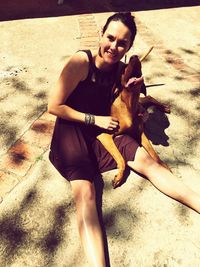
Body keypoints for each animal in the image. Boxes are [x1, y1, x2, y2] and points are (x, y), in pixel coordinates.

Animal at [97, 47, 170, 188]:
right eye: (124, 67)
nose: (134, 57)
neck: (129, 105)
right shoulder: (105, 135)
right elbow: (121, 158)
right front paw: (119, 176)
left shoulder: (141, 133)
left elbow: (153, 153)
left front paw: (163, 165)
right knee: (147, 98)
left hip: (142, 104)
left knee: (148, 97)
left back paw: (165, 107)